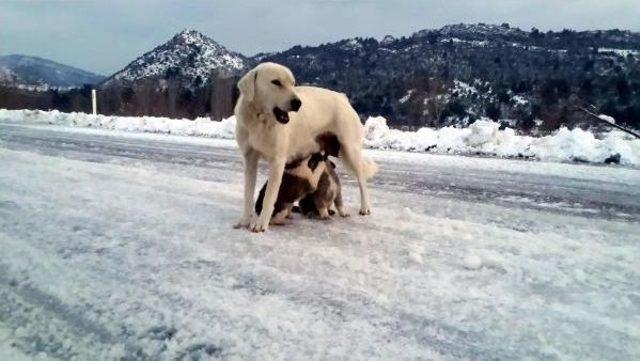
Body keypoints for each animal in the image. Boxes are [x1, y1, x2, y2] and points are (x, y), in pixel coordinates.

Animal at [234, 62, 376, 232]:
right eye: (276, 82)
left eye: (293, 83)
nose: (298, 103)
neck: (260, 120)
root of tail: (342, 97)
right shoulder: (249, 159)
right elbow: (248, 194)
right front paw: (245, 220)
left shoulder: (277, 162)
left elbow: (269, 196)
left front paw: (261, 223)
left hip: (350, 149)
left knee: (362, 180)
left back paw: (365, 207)